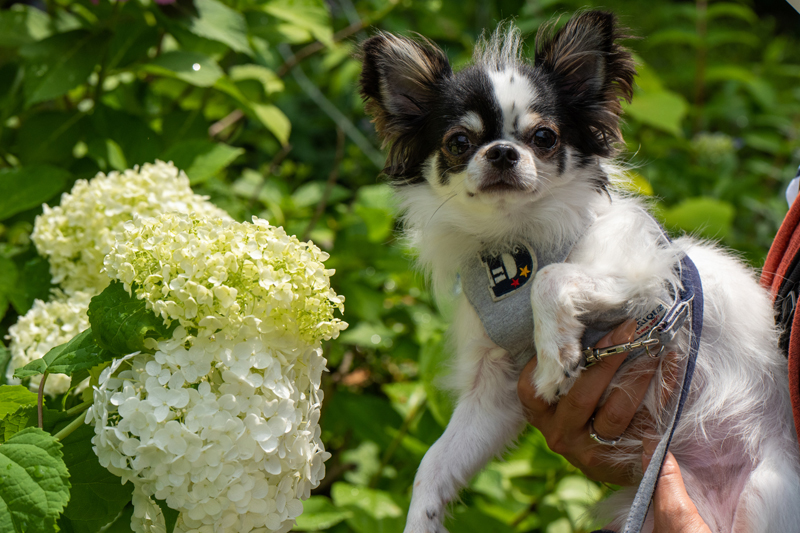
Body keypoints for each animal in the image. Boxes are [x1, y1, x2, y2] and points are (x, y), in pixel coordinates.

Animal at [360, 11, 800, 532]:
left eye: (544, 137)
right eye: (459, 142)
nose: (502, 152)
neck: (517, 241)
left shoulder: (646, 278)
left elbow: (552, 280)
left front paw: (557, 358)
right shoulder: (494, 393)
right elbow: (433, 466)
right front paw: (420, 521)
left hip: (765, 496)